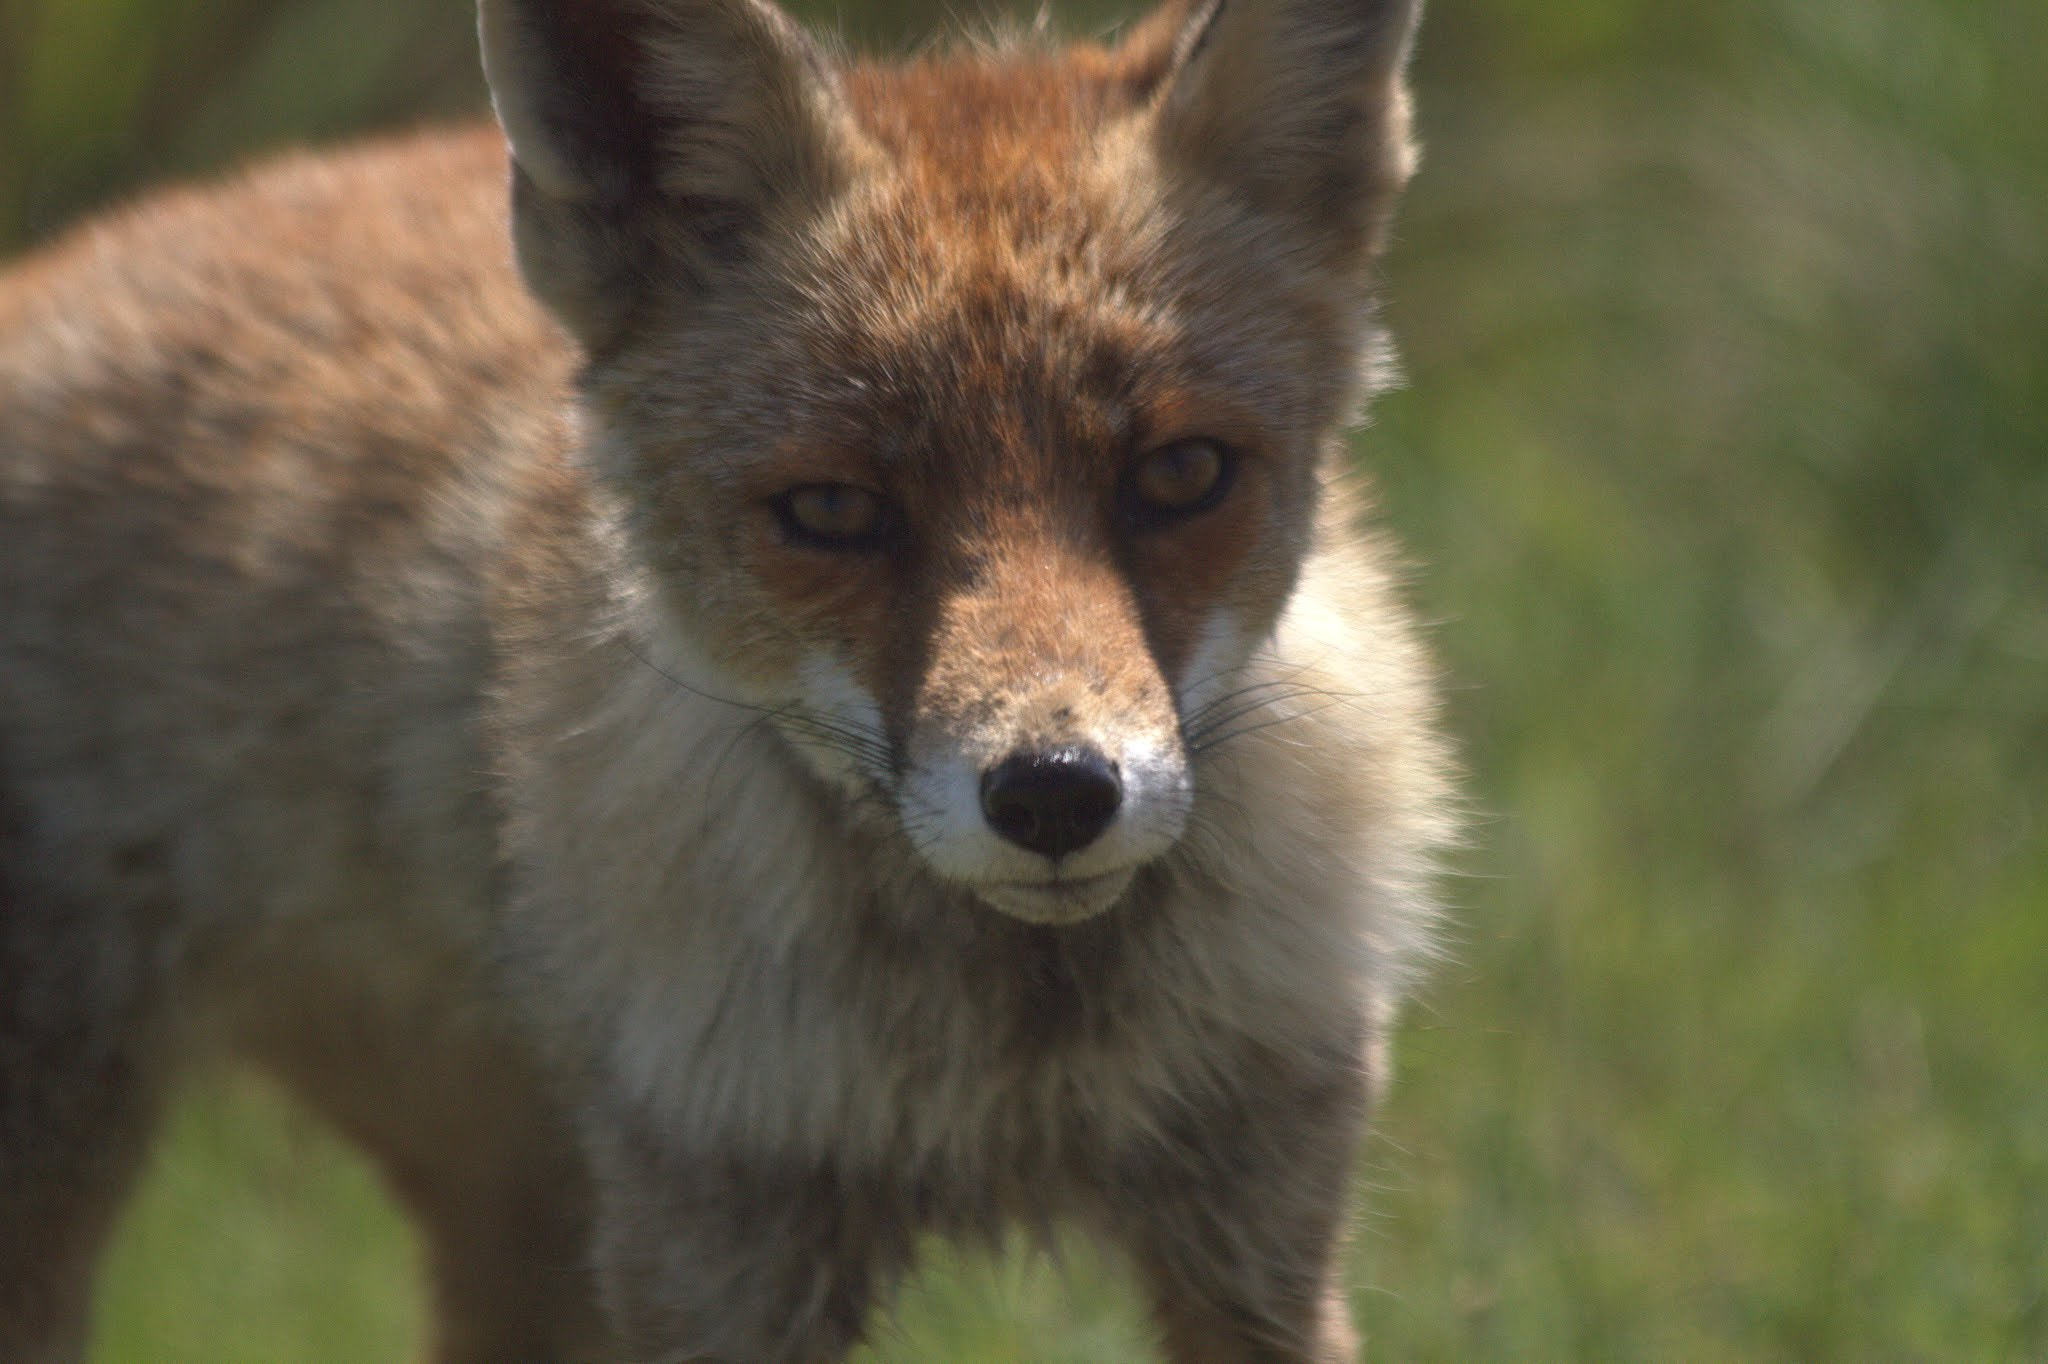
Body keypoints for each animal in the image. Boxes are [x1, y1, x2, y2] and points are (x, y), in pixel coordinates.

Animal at [0, 0, 1453, 1359]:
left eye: (1180, 473)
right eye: (832, 509)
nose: (1053, 793)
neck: (1002, 1072)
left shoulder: (1259, 1229)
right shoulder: (715, 1236)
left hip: (514, 1212)